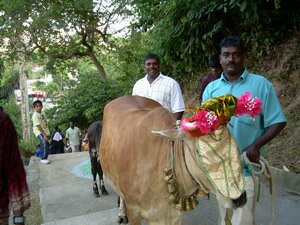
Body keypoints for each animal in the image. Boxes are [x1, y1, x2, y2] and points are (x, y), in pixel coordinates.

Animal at [99, 95, 245, 225]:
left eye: (235, 145)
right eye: (199, 152)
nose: (240, 198)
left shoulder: (172, 215)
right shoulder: (134, 211)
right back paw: (121, 214)